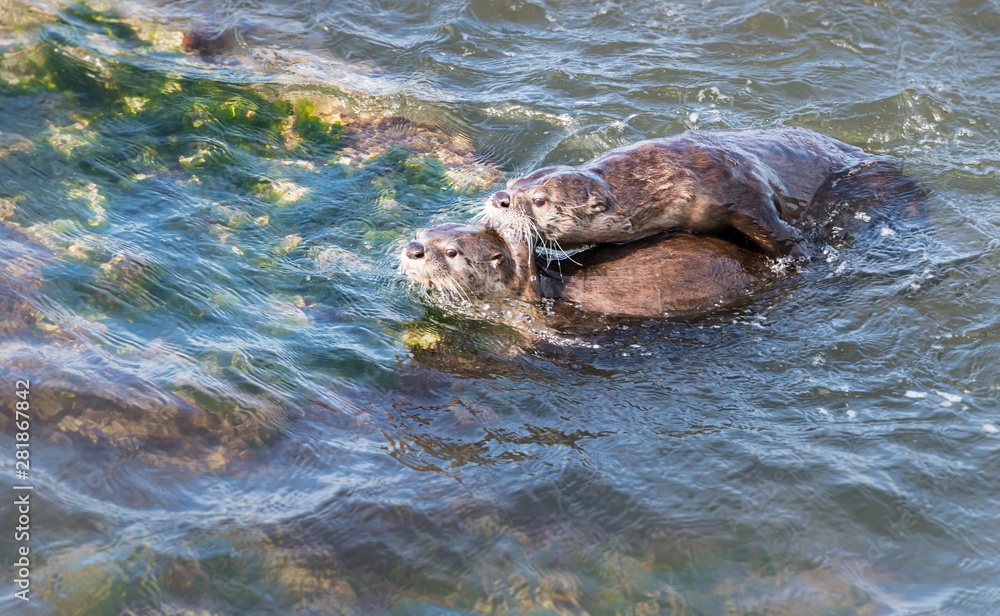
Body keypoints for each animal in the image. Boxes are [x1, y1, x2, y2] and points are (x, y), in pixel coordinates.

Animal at [480, 126, 908, 257]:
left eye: (539, 200)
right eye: (513, 184)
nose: (499, 199)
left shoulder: (737, 185)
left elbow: (771, 227)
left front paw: (799, 250)